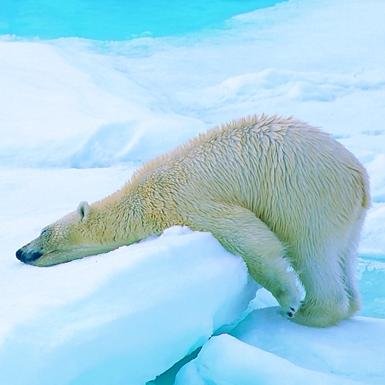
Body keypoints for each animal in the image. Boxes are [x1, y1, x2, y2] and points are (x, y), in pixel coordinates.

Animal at [15, 115, 368, 326]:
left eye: (43, 231)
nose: (20, 252)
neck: (139, 198)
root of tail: (358, 176)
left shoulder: (186, 202)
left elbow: (251, 237)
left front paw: (289, 299)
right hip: (346, 214)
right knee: (342, 254)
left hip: (304, 193)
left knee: (311, 249)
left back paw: (310, 313)